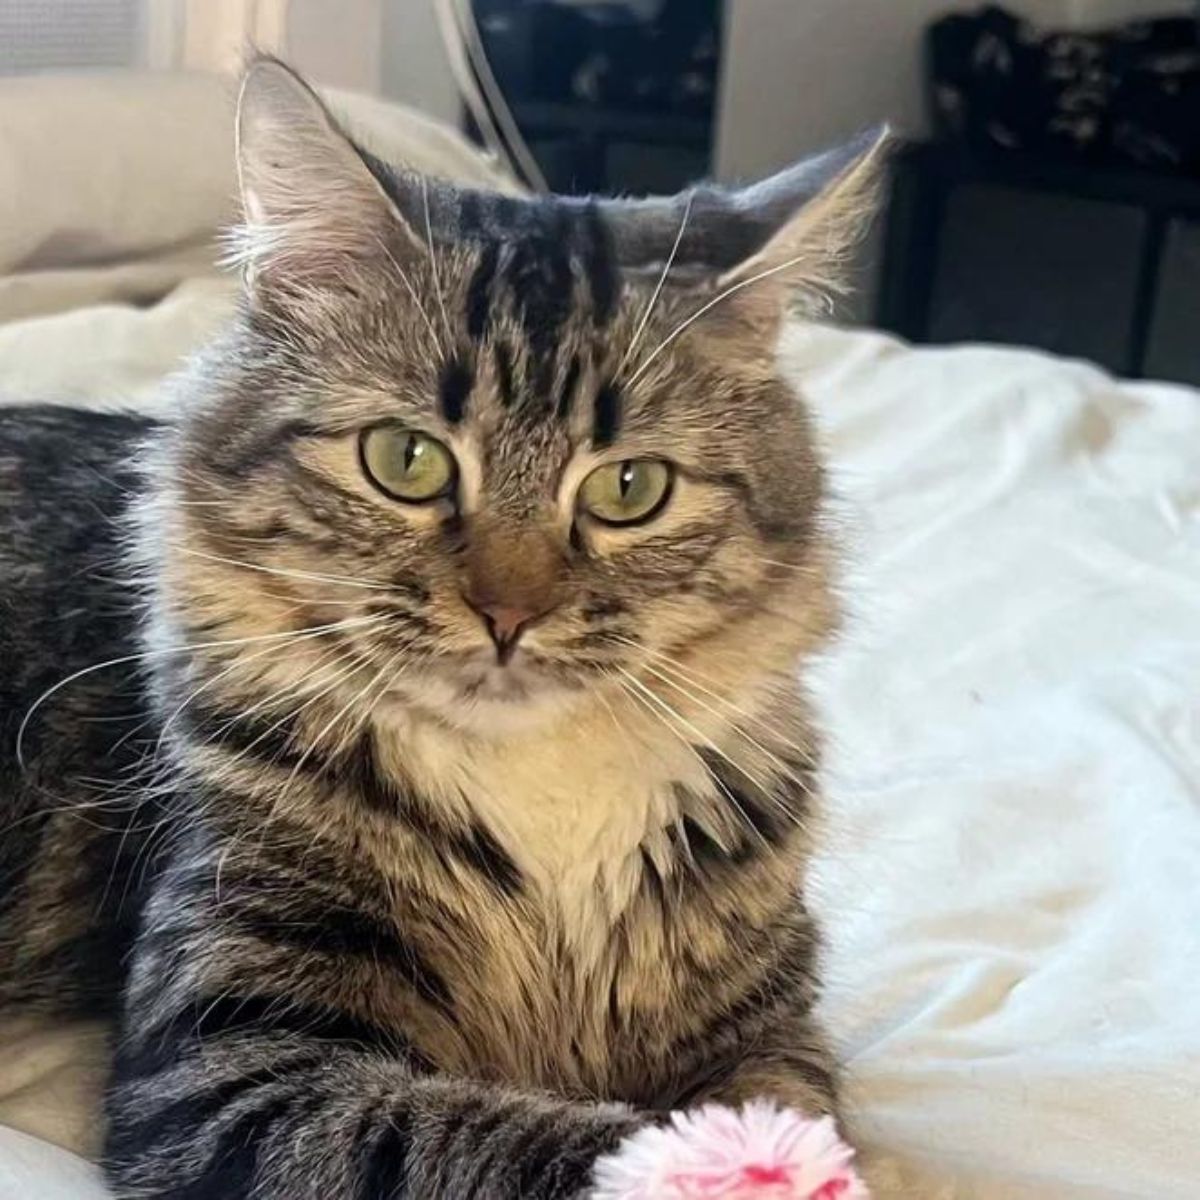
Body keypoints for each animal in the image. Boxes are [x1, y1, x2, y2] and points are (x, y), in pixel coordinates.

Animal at [0, 56, 883, 1200]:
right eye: (405, 461)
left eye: (630, 489)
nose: (509, 613)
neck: (544, 794)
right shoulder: (230, 1066)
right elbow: (519, 1138)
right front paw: (709, 1162)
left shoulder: (766, 1019)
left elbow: (799, 1105)